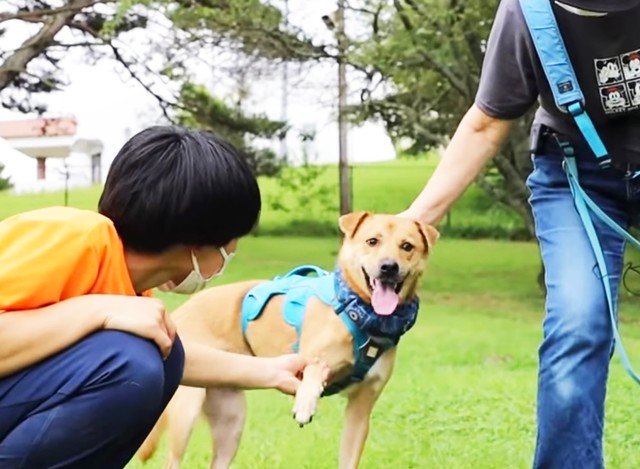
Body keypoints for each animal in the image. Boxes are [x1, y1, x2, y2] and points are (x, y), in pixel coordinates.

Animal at [139, 211, 440, 468]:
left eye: (407, 246)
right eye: (372, 241)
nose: (389, 267)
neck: (360, 313)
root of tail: (178, 313)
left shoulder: (361, 408)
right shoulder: (305, 359)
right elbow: (314, 368)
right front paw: (306, 402)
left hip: (231, 419)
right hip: (186, 411)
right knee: (172, 461)